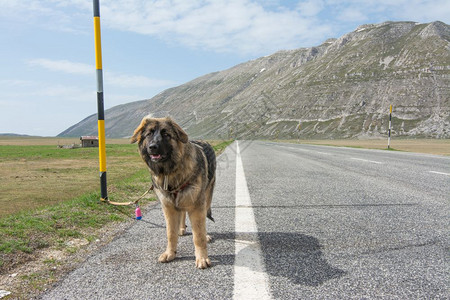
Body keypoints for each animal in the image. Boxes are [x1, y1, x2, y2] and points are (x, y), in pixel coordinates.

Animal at [131, 116, 215, 268]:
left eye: (166, 134)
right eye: (149, 134)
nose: (152, 147)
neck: (170, 173)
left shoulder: (197, 206)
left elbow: (198, 236)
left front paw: (202, 258)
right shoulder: (168, 208)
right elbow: (170, 233)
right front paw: (170, 253)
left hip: (206, 197)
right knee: (182, 213)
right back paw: (181, 228)